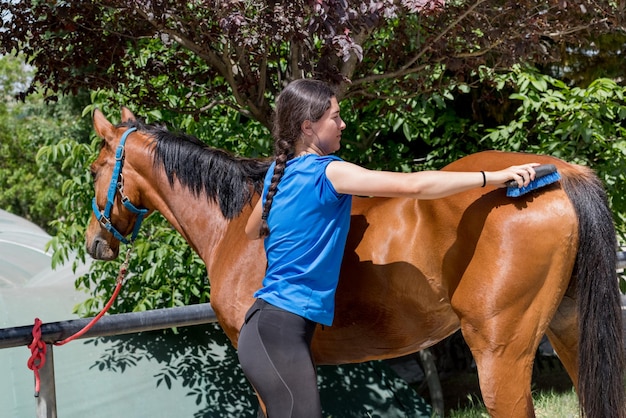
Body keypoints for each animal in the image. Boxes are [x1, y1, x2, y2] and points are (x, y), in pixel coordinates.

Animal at [85, 108, 620, 418]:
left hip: (500, 355)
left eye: (94, 168)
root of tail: (561, 174)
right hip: (569, 334)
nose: (95, 242)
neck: (236, 222)